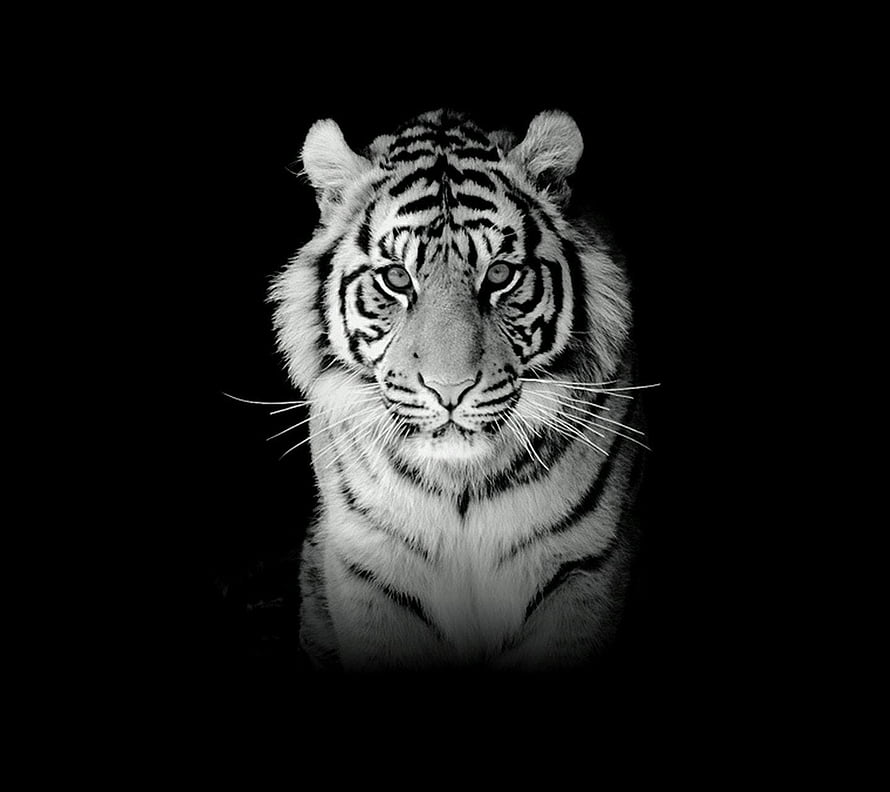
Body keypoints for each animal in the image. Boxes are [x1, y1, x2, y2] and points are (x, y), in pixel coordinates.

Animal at [269, 108, 648, 671]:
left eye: (500, 274)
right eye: (397, 279)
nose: (450, 391)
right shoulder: (371, 564)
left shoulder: (584, 563)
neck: (460, 487)